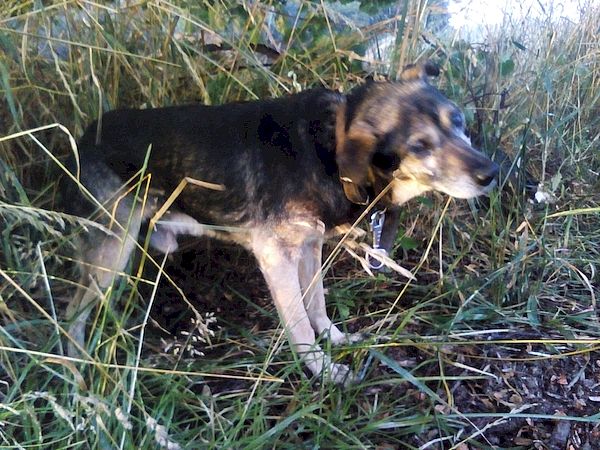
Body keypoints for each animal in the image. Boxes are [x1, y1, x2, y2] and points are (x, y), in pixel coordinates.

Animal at [62, 61, 498, 384]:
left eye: (458, 121)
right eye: (420, 146)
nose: (491, 173)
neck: (330, 148)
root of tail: (87, 132)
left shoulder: (310, 246)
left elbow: (317, 304)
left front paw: (336, 339)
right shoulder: (276, 257)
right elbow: (300, 324)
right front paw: (324, 371)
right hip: (110, 251)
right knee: (71, 317)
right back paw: (79, 372)